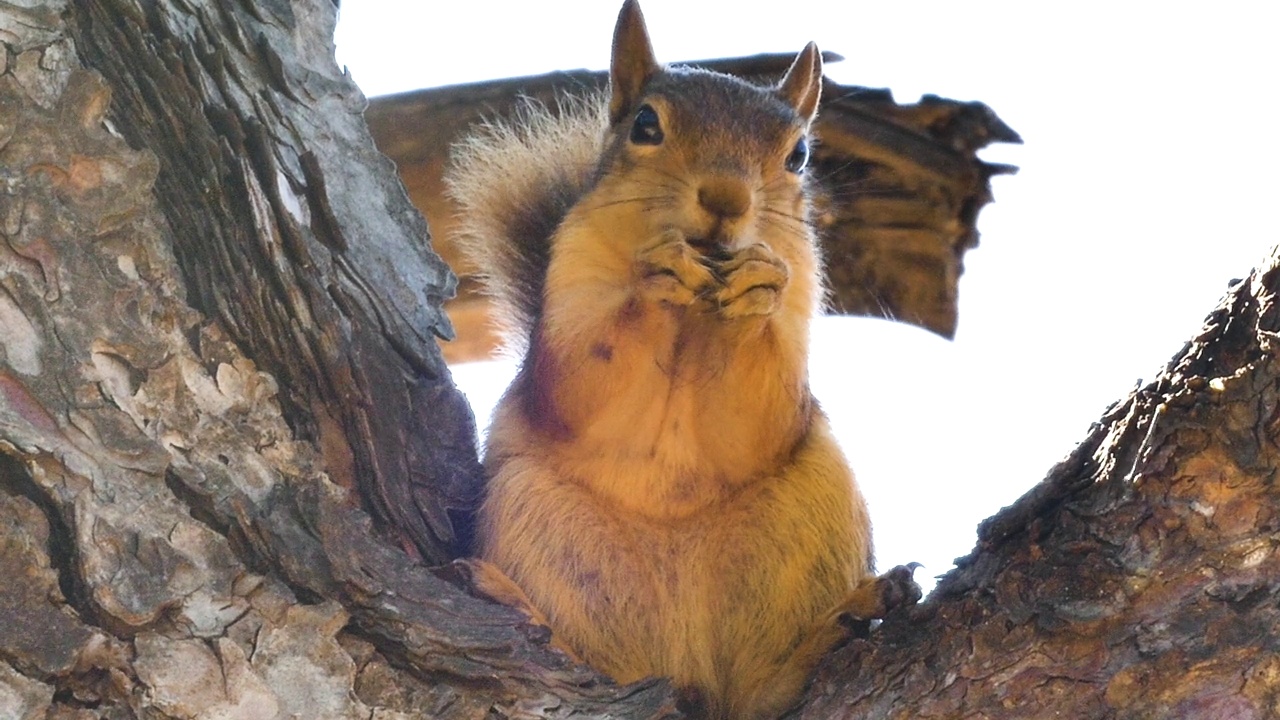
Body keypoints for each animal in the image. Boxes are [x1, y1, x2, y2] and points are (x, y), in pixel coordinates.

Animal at [442, 2, 921, 712]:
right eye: (647, 124)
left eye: (799, 154)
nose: (726, 200)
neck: (694, 316)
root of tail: (688, 667)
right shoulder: (570, 285)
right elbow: (577, 384)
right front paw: (654, 278)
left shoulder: (801, 291)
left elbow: (760, 421)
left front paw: (754, 292)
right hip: (536, 513)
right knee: (594, 663)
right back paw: (523, 610)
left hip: (813, 511)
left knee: (758, 694)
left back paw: (831, 632)